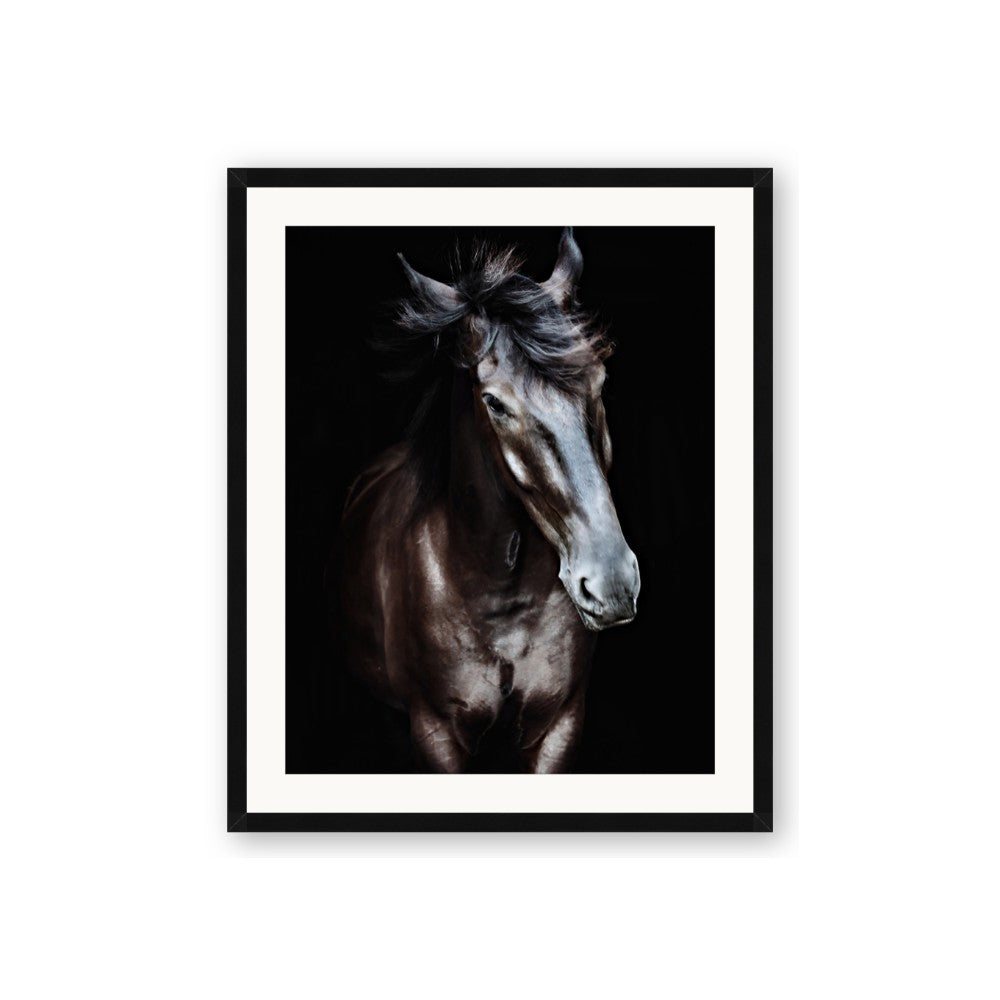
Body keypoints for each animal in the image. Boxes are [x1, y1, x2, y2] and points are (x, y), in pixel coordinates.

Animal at [337, 228, 640, 773]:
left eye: (599, 380)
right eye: (494, 402)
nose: (611, 582)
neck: (501, 600)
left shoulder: (559, 726)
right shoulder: (435, 734)